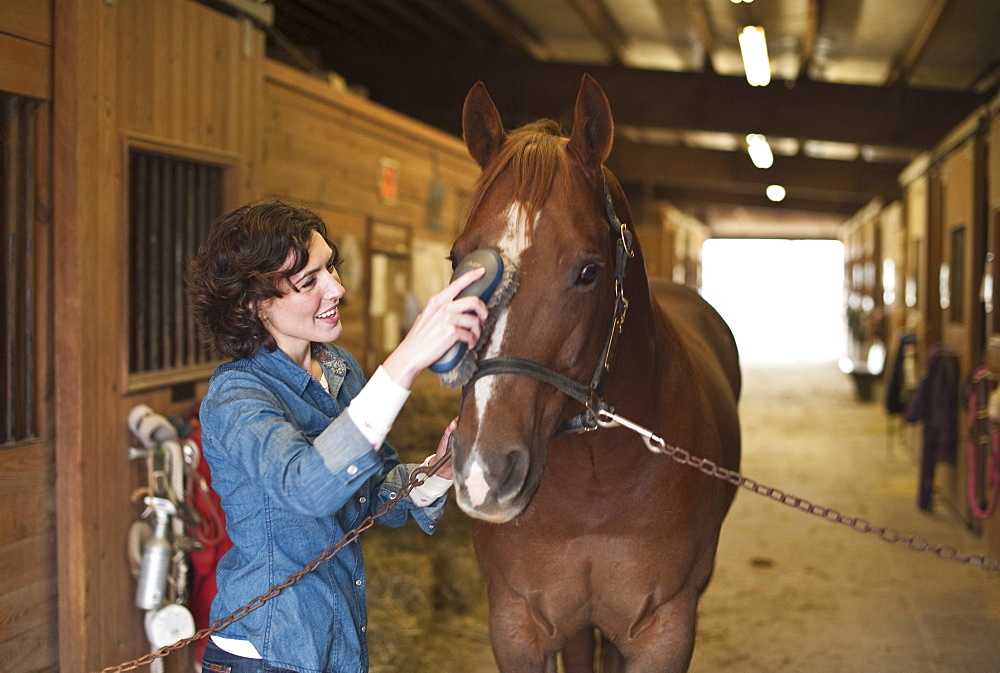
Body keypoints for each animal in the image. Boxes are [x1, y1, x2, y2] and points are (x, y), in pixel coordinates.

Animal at [450, 75, 740, 672]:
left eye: (588, 271)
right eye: (456, 261)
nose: (485, 470)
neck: (596, 486)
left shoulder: (664, 632)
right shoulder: (517, 627)